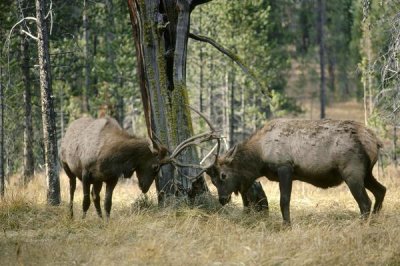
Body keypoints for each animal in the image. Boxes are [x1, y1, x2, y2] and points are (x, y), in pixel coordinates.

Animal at [209, 119, 388, 223]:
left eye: (223, 175)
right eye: (213, 181)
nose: (222, 199)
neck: (259, 157)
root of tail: (375, 141)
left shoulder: (285, 167)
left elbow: (284, 200)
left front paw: (287, 225)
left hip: (352, 172)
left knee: (365, 202)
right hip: (367, 172)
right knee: (381, 190)